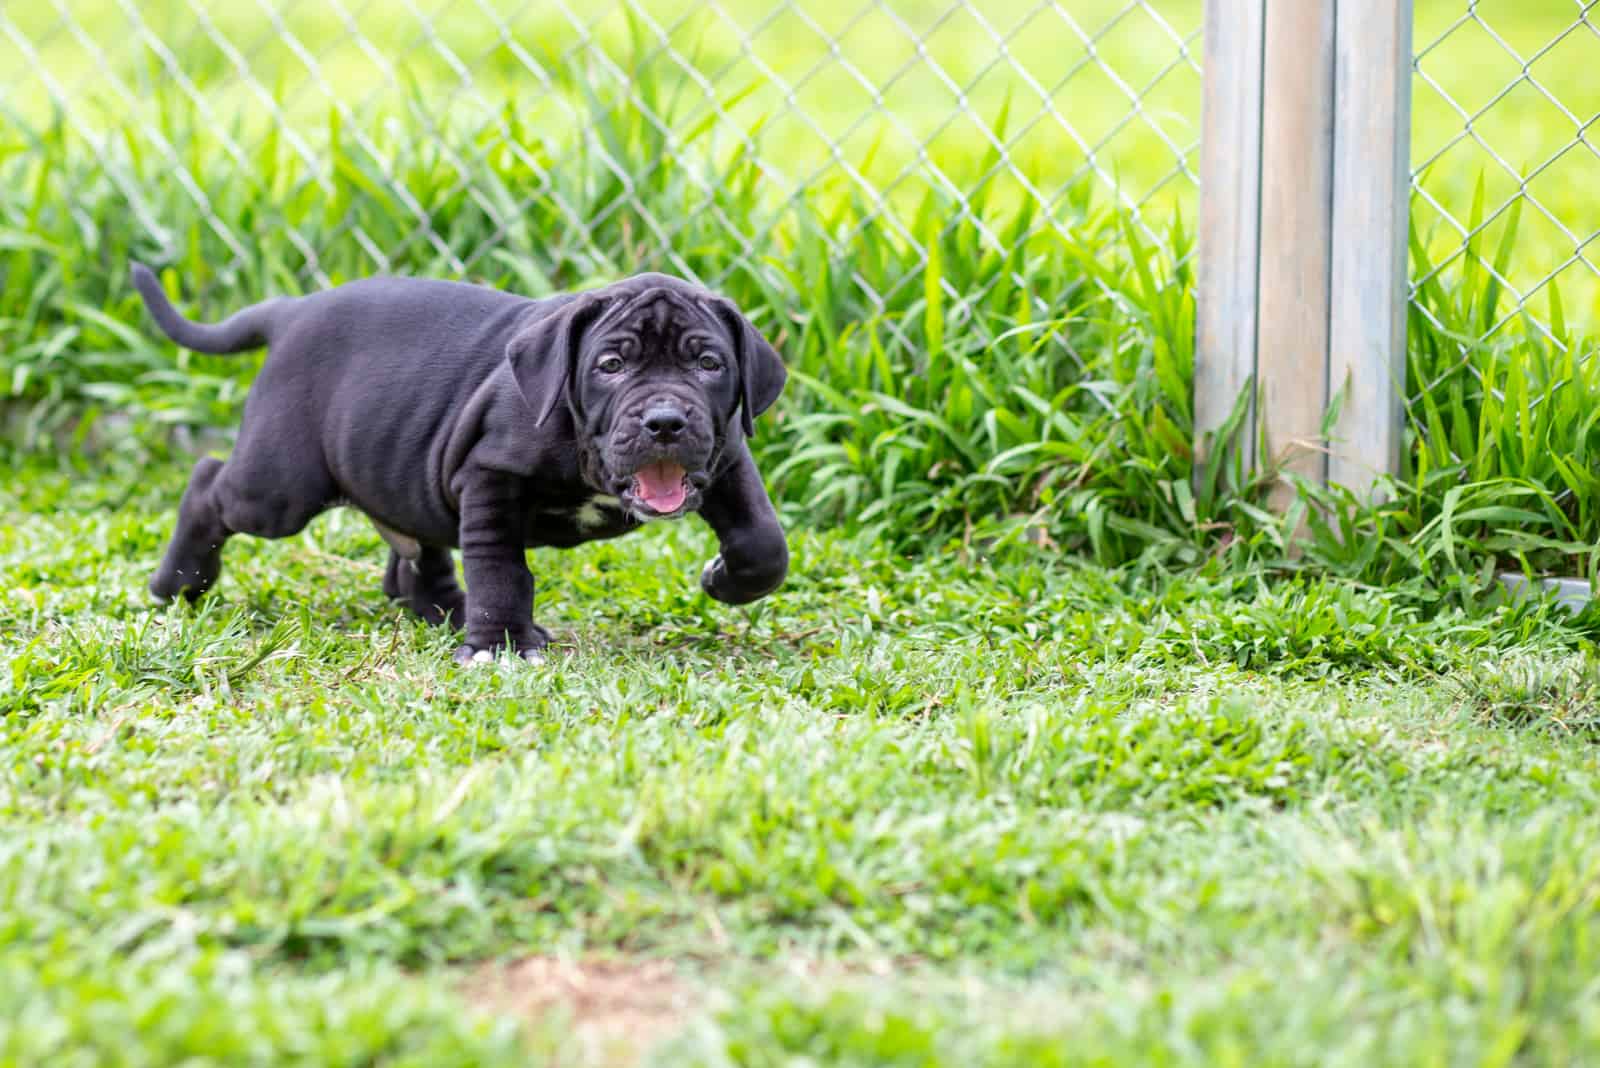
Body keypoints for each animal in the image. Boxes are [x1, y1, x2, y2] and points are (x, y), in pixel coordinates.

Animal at [129, 263, 787, 661]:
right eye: (611, 366)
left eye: (709, 365)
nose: (666, 422)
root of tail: (291, 311)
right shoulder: (490, 476)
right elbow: (500, 567)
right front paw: (498, 646)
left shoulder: (728, 457)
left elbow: (764, 542)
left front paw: (724, 578)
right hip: (278, 488)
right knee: (208, 483)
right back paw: (176, 584)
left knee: (419, 555)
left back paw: (448, 612)